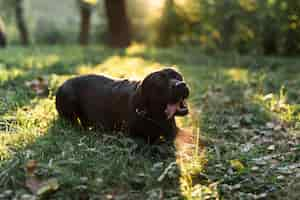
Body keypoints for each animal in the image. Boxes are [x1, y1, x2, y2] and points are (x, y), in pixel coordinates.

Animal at [55, 68, 189, 143]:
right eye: (160, 82)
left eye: (178, 76)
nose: (181, 85)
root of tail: (61, 84)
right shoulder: (132, 137)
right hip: (69, 96)